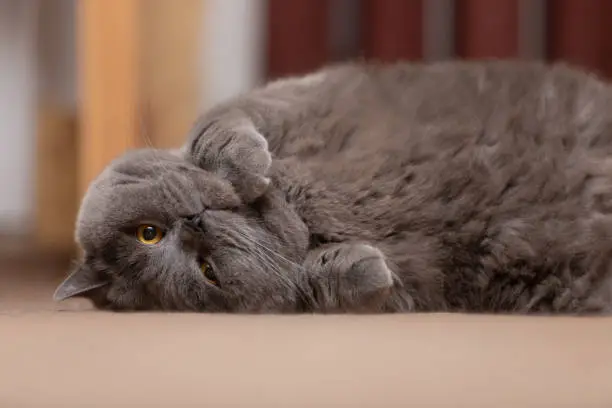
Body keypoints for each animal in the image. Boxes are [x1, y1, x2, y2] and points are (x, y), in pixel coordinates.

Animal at [53, 59, 612, 314]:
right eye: (207, 271)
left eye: (146, 232)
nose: (194, 224)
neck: (294, 206)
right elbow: (325, 288)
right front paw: (358, 267)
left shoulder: (288, 96)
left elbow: (221, 124)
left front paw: (245, 163)